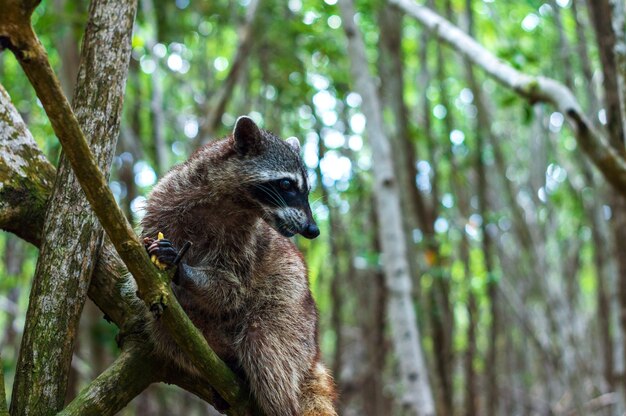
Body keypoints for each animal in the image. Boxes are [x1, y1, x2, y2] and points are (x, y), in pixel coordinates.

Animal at [141, 116, 336, 416]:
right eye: (287, 184)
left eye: (306, 190)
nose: (313, 230)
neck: (233, 202)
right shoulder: (165, 201)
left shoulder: (245, 243)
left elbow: (231, 289)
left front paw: (183, 269)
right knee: (164, 330)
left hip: (291, 304)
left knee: (265, 344)